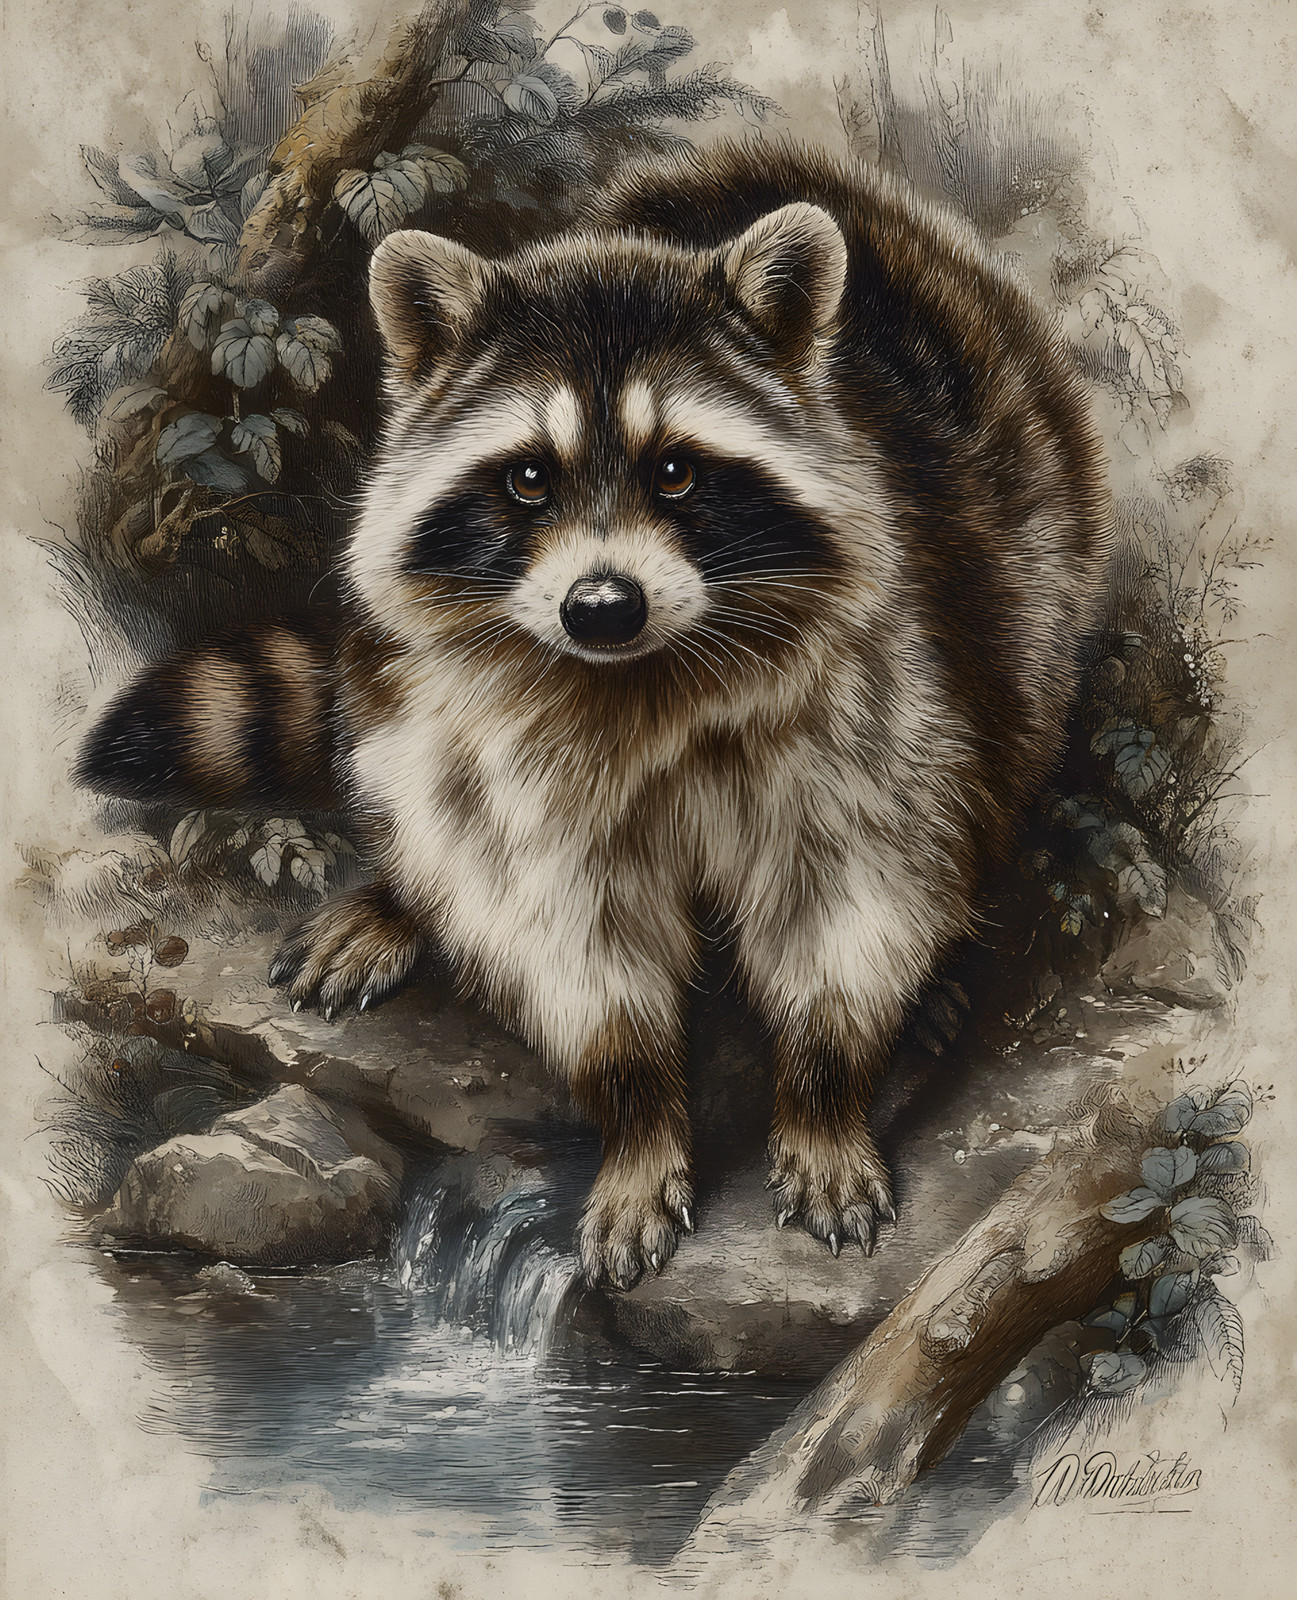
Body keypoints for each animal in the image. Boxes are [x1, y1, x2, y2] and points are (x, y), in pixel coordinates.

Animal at [80, 142, 1111, 1288]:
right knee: (427, 801)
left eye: (677, 470)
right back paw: (399, 896)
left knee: (1004, 729)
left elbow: (847, 907)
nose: (602, 606)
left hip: (1030, 553)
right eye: (530, 478)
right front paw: (639, 1122)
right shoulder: (518, 766)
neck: (636, 677)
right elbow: (572, 940)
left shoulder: (872, 700)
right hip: (412, 681)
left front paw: (825, 1094)